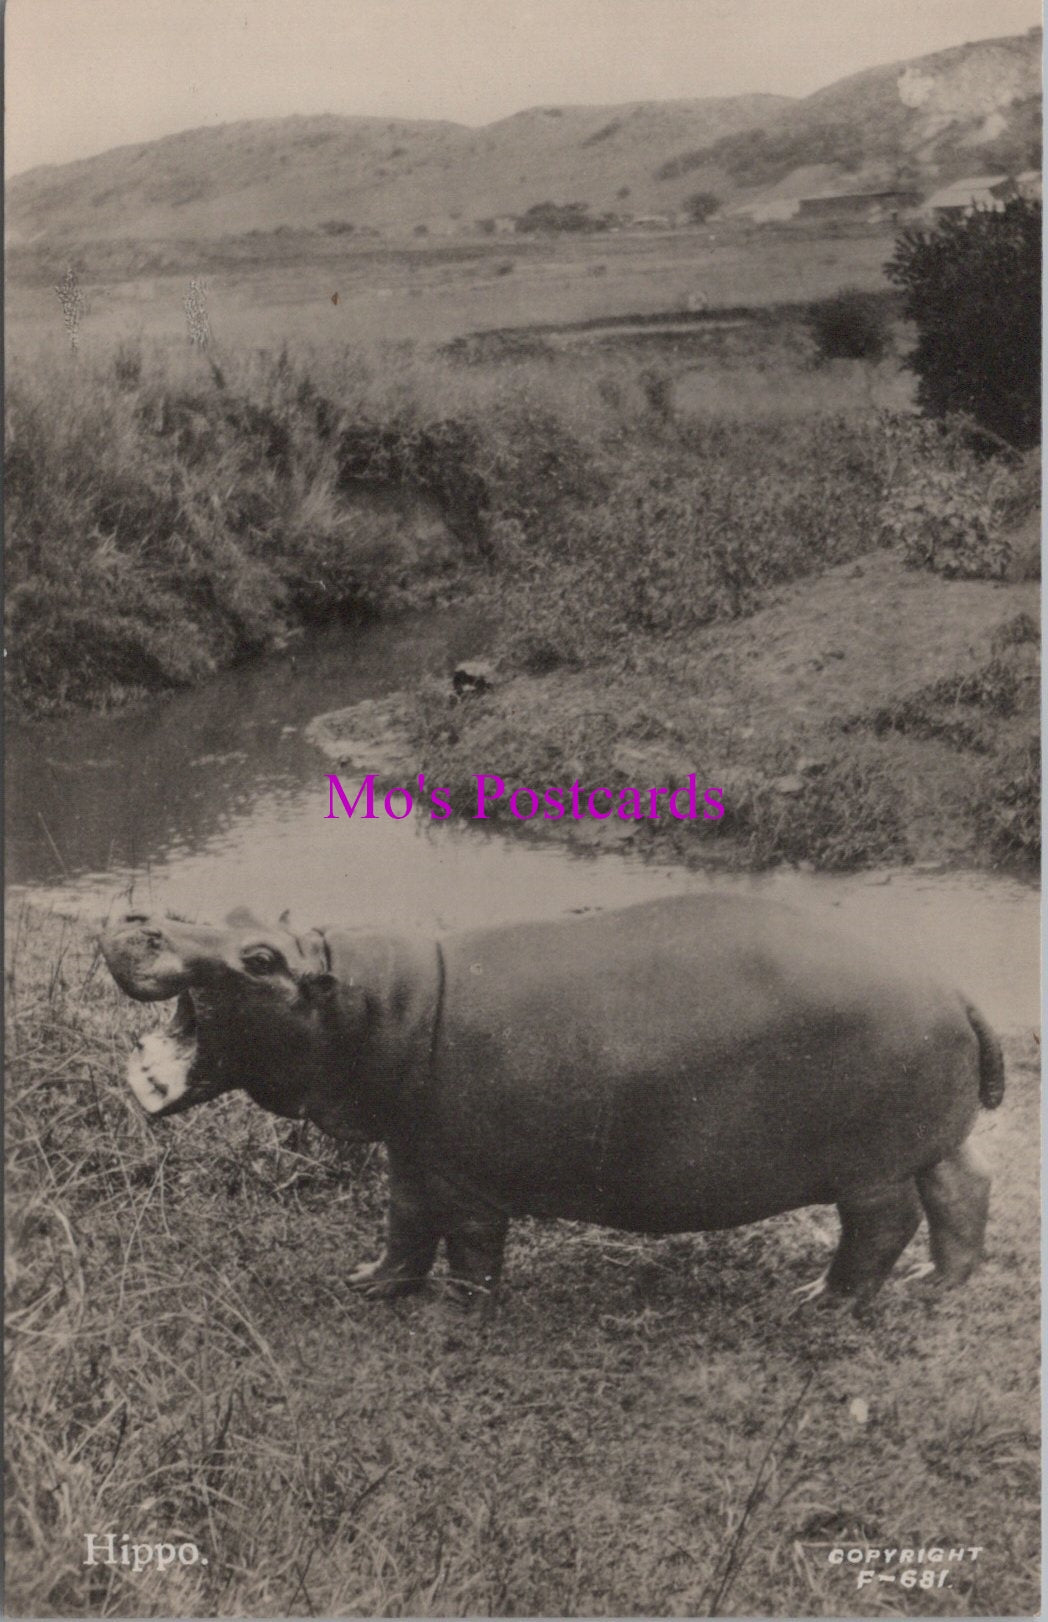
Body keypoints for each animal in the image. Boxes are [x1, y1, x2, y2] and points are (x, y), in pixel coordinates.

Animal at [99, 896, 1004, 1310]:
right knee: (964, 1190)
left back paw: (823, 1299)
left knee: (884, 1223)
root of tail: (952, 985)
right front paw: (367, 1283)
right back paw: (936, 1285)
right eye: (238, 912)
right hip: (927, 1138)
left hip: (870, 1165)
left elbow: (468, 1239)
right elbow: (403, 1225)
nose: (140, 916)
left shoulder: (461, 1172)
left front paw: (460, 1307)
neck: (371, 1005)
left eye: (258, 957)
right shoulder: (411, 1153)